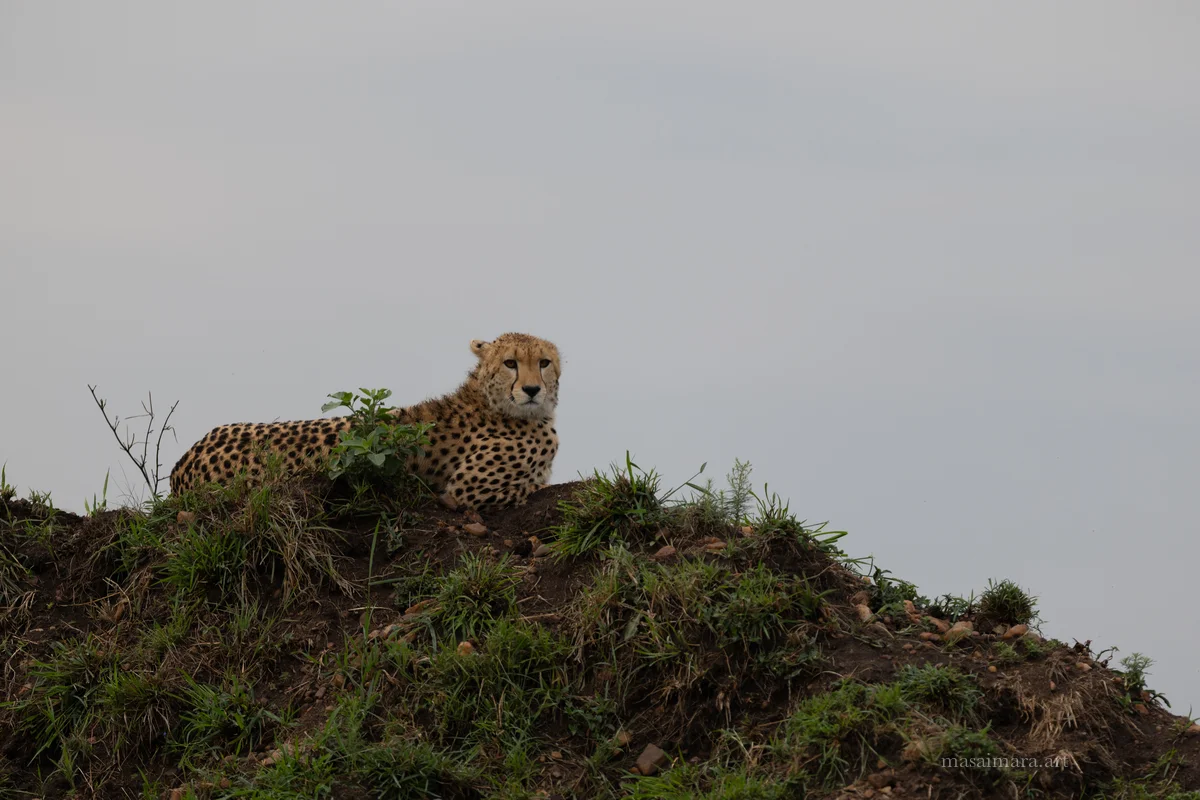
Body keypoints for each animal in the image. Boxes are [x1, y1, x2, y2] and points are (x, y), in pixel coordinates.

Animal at [168, 332, 561, 510]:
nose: (531, 390)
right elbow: (535, 487)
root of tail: (182, 463)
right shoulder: (465, 491)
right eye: (510, 363)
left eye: (544, 362)